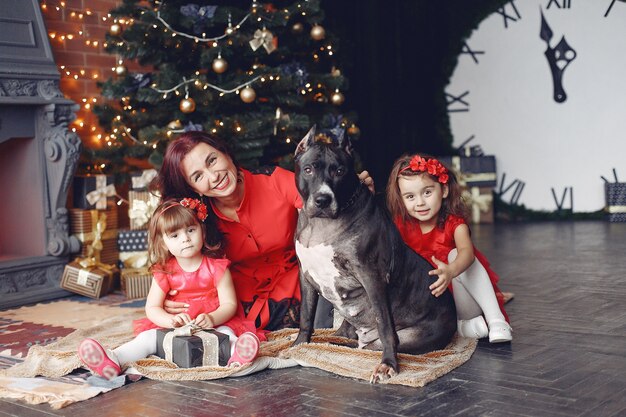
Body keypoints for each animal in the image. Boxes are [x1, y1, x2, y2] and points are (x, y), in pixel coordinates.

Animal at [290, 125, 456, 382]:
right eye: (308, 169)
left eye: (339, 171)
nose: (323, 199)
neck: (322, 225)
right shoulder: (305, 275)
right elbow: (306, 315)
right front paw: (300, 344)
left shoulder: (372, 276)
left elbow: (385, 323)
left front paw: (388, 365)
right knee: (345, 339)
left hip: (412, 337)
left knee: (374, 344)